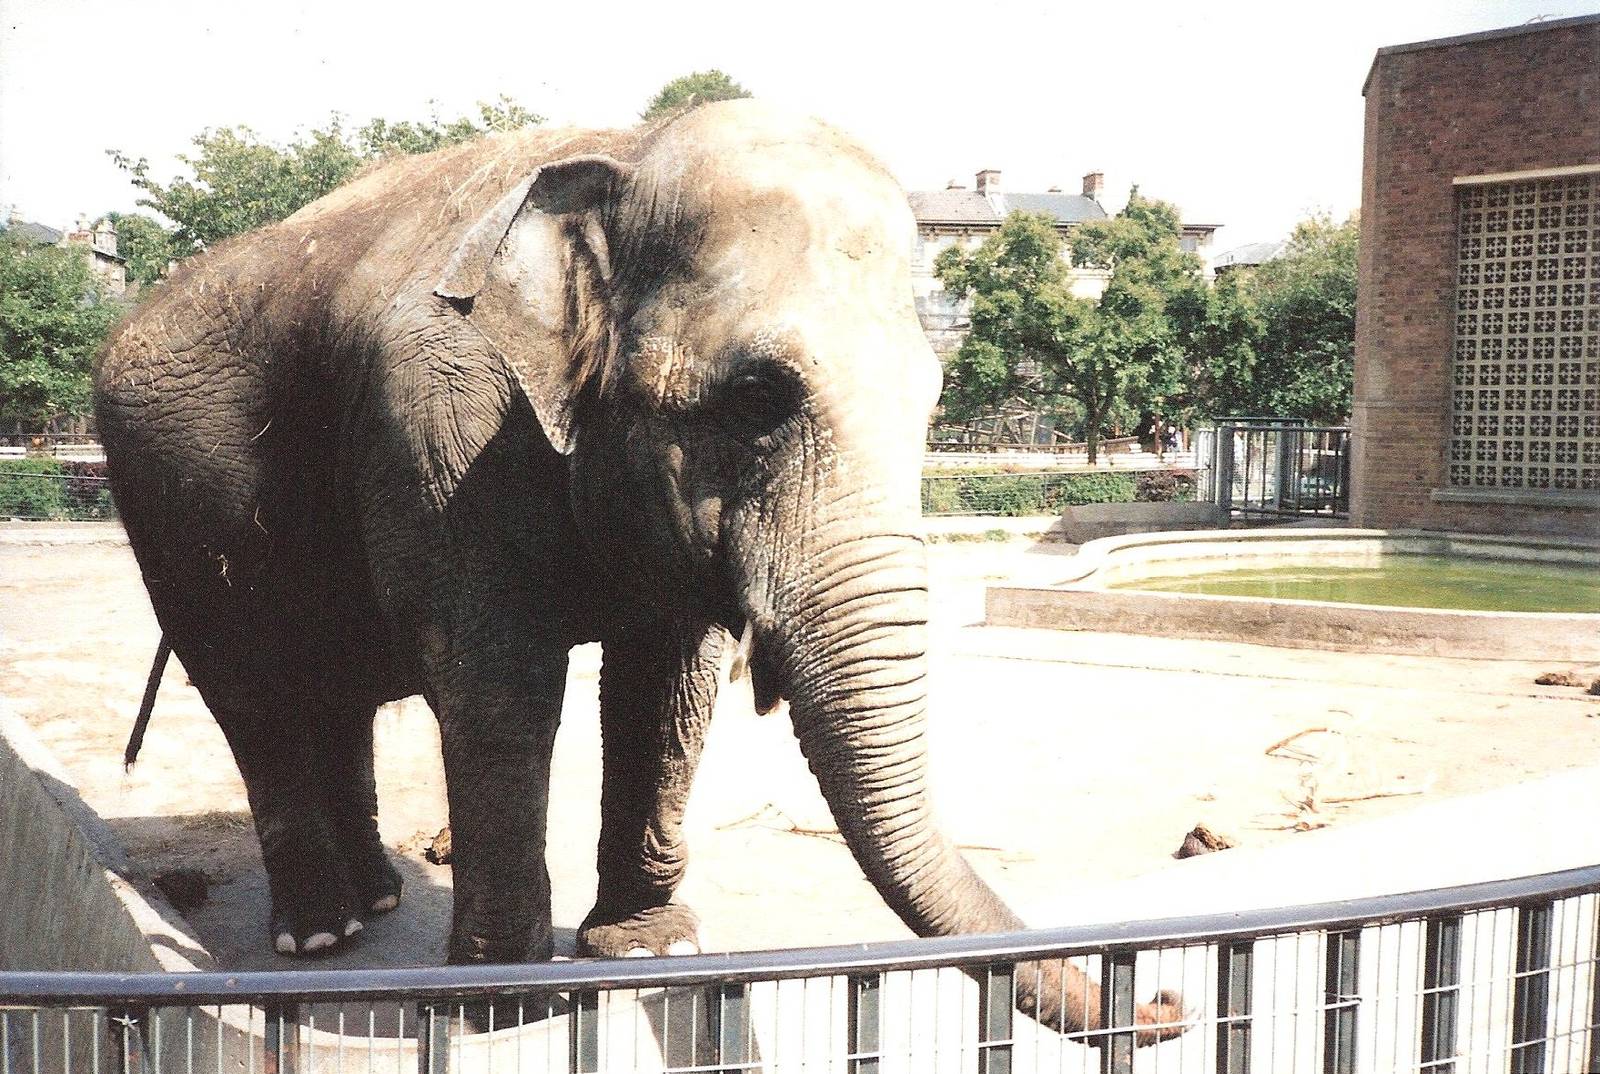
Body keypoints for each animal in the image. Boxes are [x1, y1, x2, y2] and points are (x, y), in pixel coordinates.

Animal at [94, 100, 1181, 1042]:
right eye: (758, 395)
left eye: (934, 398)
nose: (1166, 1001)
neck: (625, 153)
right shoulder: (437, 421)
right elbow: (500, 681)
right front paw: (506, 1003)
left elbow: (668, 679)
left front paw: (650, 950)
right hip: (167, 513)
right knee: (253, 691)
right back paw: (323, 934)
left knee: (336, 694)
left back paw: (378, 898)